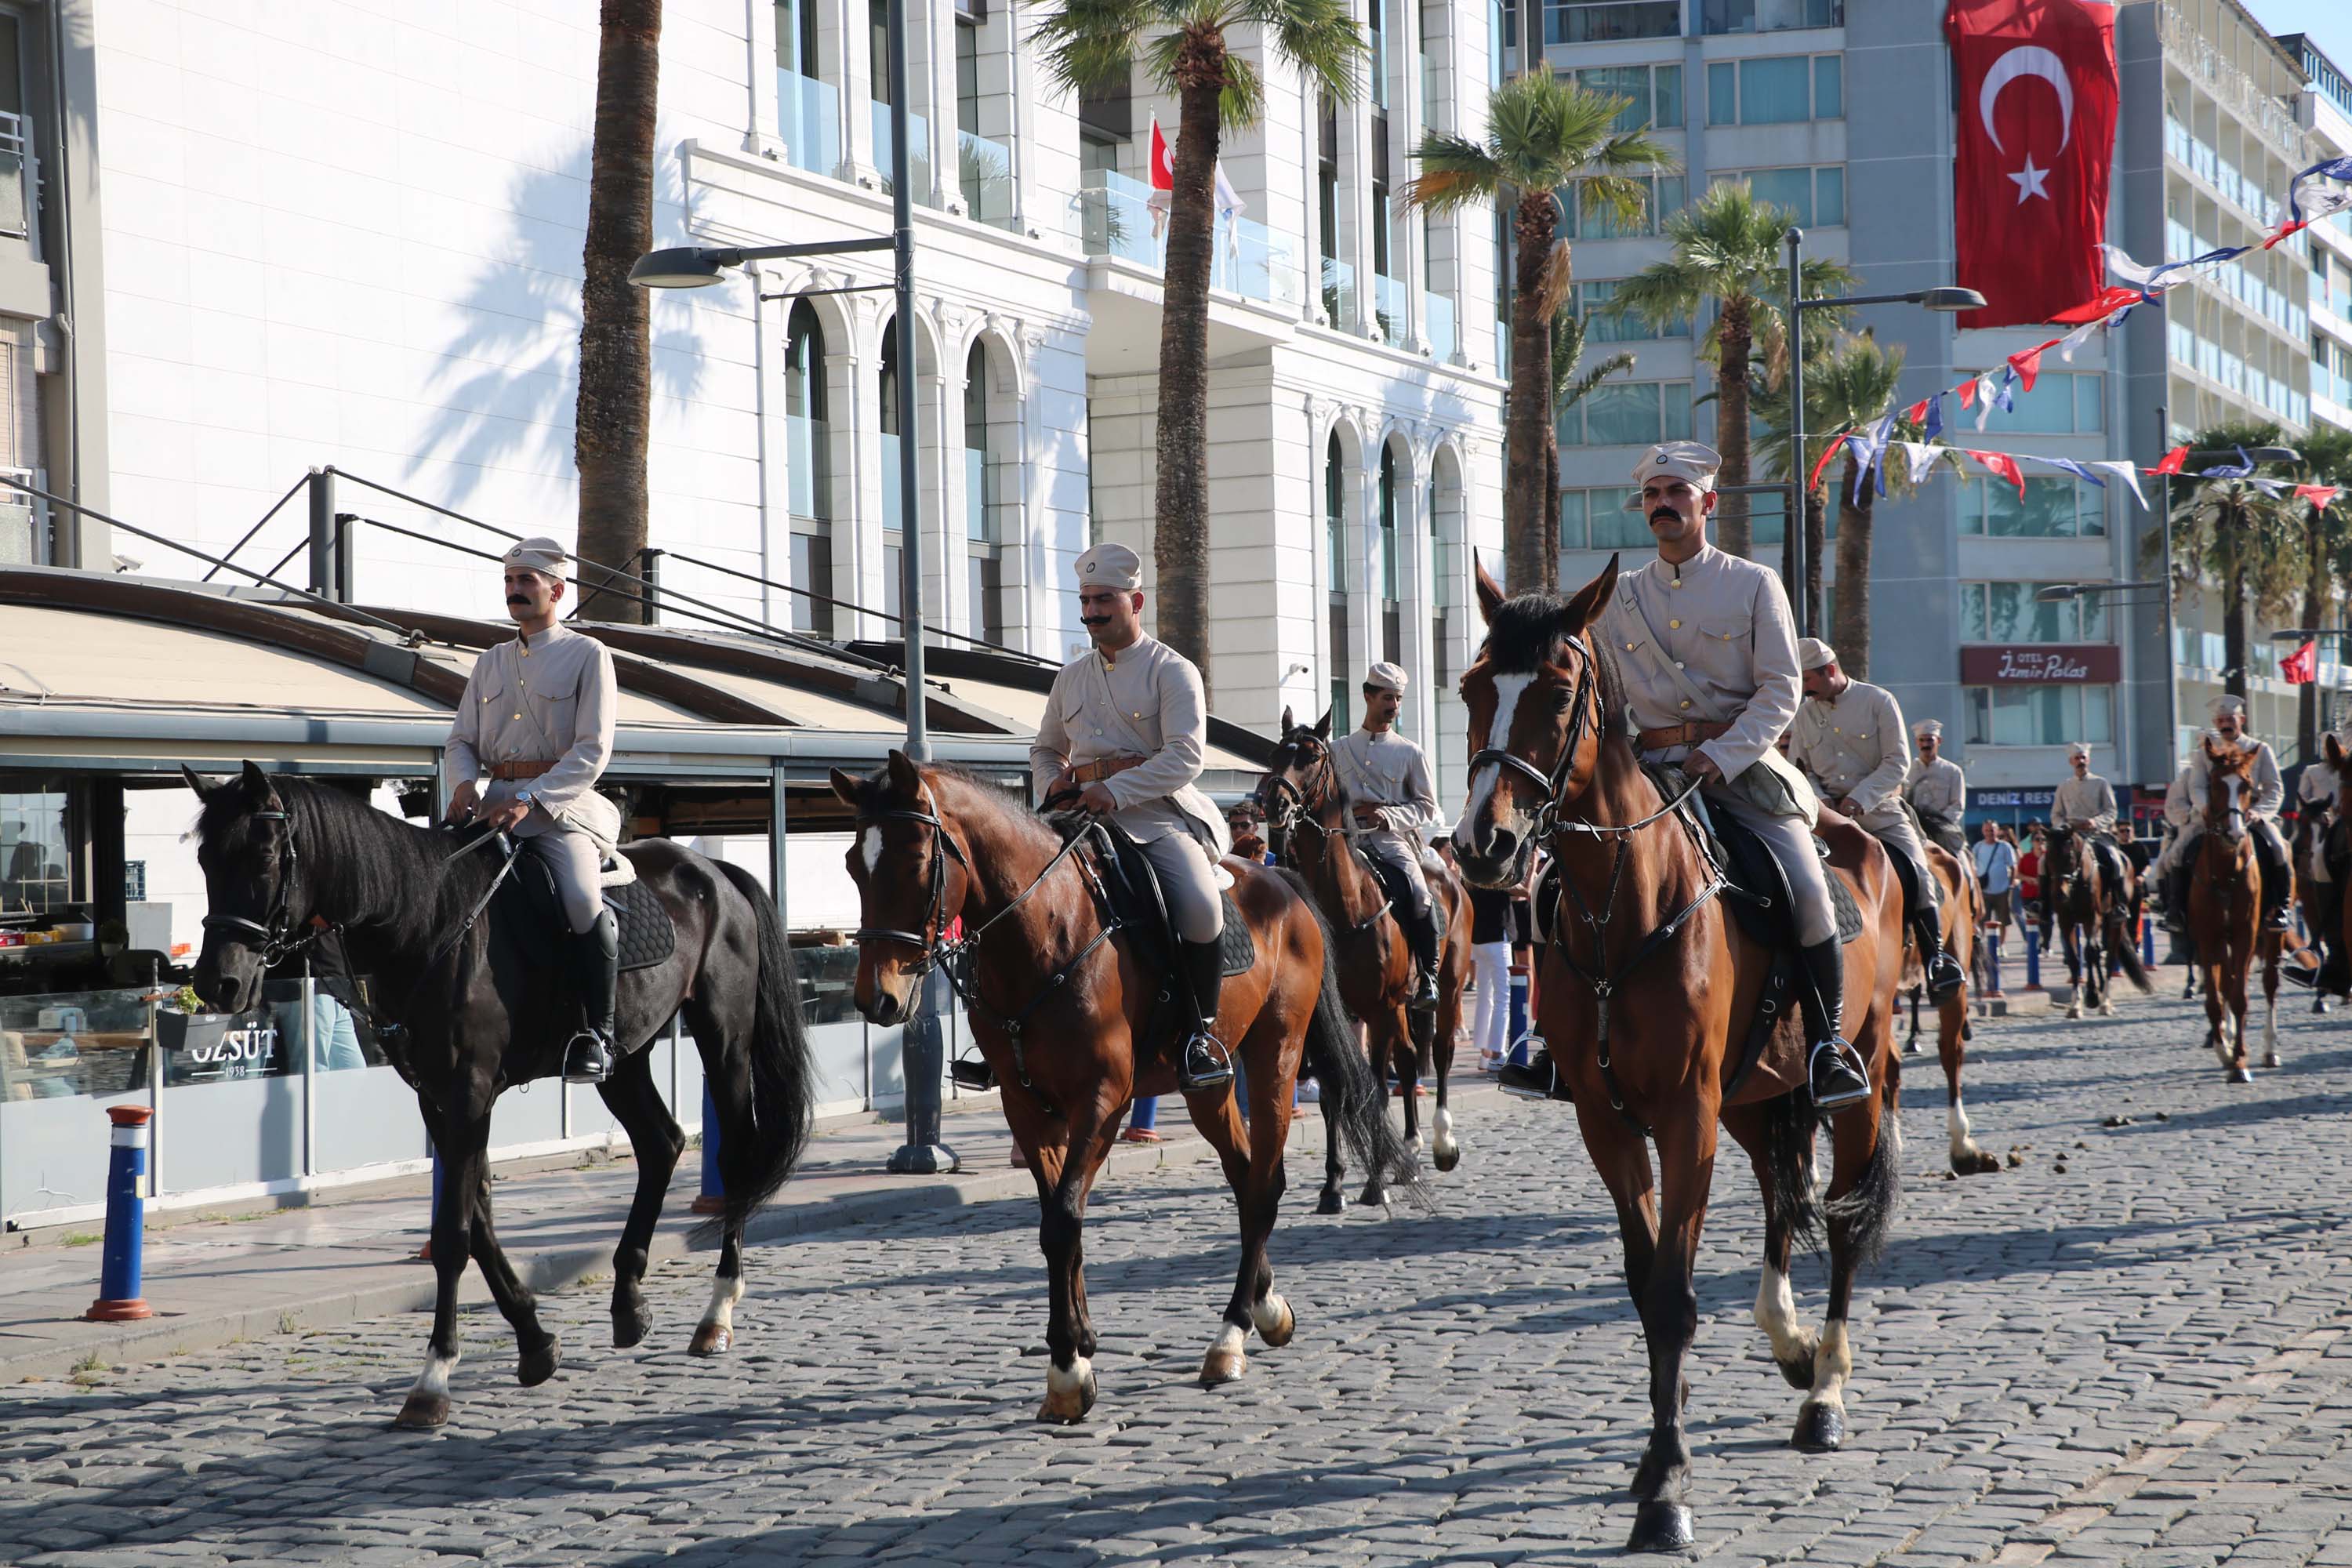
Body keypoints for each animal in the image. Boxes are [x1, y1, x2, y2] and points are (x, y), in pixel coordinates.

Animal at [181, 766, 818, 1429]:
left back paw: (717, 1314)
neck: (425, 922)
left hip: (725, 1039)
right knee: (660, 1144)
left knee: (734, 1156)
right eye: (204, 858)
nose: (217, 984)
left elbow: (455, 1236)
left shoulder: (469, 1094)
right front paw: (536, 1343)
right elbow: (478, 1221)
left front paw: (433, 1378)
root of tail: (714, 872)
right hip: (625, 1060)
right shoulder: (439, 1099)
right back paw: (628, 1302)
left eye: (263, 854)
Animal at [828, 752, 1411, 1420]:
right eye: (852, 865)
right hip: (1209, 1084)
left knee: (1265, 1183)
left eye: (916, 862)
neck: (1044, 927)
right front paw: (1079, 1342)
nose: (878, 1000)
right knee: (1244, 1176)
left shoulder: (1101, 1103)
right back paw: (1265, 1304)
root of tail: (1285, 883)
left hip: (1276, 1059)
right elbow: (1060, 1220)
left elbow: (1063, 1220)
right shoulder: (1028, 1108)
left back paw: (1231, 1334)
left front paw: (1066, 1369)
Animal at [1251, 705, 1468, 1213]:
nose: (1274, 805)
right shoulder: (1327, 1015)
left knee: (1437, 1055)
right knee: (1408, 1060)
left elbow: (1375, 1087)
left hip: (1442, 991)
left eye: (1311, 756)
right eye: (1276, 753)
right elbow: (1336, 1093)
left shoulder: (1379, 1009)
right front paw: (1334, 1185)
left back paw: (1437, 1145)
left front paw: (1373, 1181)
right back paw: (1406, 1156)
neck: (1342, 907)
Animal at [1449, 557, 1910, 1552]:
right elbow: (1644, 1279)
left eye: (1557, 688)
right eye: (1472, 687)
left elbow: (1672, 1292)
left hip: (1852, 1080)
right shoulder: (1609, 1121)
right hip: (1753, 1097)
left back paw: (1825, 1387)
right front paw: (1661, 1444)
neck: (1622, 905)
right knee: (1783, 1192)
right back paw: (1789, 1341)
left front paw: (1667, 1486)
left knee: (1841, 1220)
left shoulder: (1684, 1116)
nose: (1482, 843)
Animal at [2192, 738, 2286, 1081]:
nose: (2233, 833)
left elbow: (2239, 997)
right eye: (2214, 784)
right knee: (2226, 982)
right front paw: (2224, 1050)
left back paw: (2269, 1050)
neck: (2226, 872)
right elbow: (2214, 998)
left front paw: (2240, 1062)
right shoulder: (2208, 937)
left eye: (2246, 784)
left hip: (2272, 935)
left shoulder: (2246, 934)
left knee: (2269, 984)